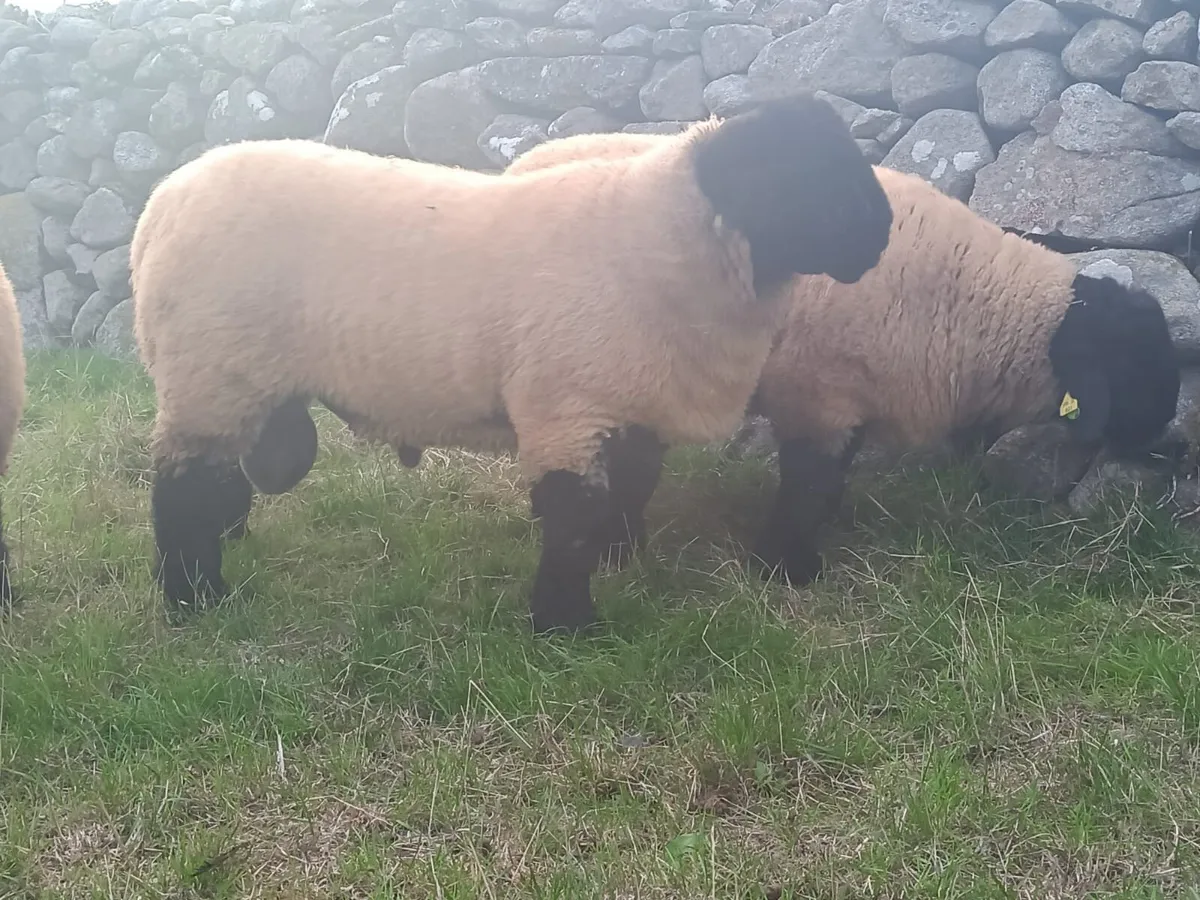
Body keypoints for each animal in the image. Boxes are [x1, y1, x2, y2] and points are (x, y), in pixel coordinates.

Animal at [130, 93, 896, 634]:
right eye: (806, 172)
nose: (884, 230)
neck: (660, 240)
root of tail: (161, 203)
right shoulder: (566, 406)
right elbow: (573, 514)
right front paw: (566, 626)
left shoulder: (624, 396)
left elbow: (630, 488)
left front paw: (619, 562)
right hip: (212, 369)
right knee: (183, 491)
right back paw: (196, 600)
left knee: (215, 483)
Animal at [508, 139, 1182, 585]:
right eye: (1132, 364)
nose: (1166, 440)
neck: (971, 296)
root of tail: (524, 161)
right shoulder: (817, 391)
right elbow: (807, 480)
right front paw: (786, 566)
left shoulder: (853, 395)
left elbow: (832, 476)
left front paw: (822, 531)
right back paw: (611, 545)